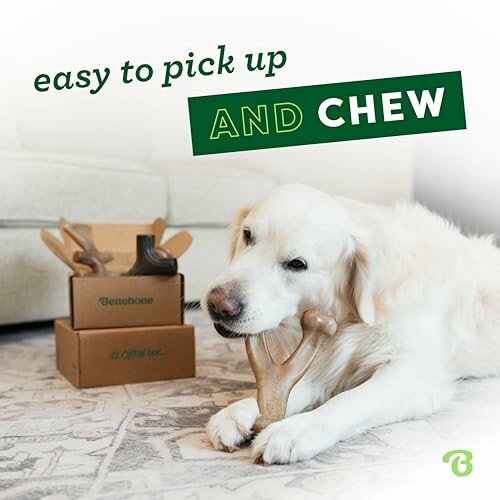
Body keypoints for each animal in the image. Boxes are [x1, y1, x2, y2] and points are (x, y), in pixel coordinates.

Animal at [201, 184, 498, 464]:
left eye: (297, 264)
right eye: (248, 235)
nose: (218, 304)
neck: (349, 316)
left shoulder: (415, 373)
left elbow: (349, 400)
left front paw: (295, 430)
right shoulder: (323, 368)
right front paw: (240, 410)